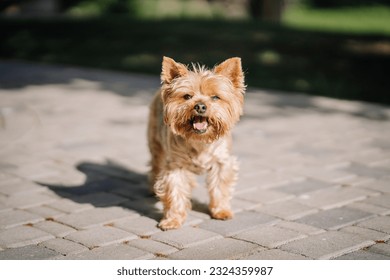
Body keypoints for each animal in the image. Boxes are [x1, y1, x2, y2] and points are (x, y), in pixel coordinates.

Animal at [148, 57, 245, 230]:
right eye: (187, 96)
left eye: (215, 97)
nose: (200, 106)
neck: (200, 141)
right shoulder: (175, 166)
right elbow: (175, 191)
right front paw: (172, 219)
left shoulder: (222, 162)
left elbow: (220, 187)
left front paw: (221, 211)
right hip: (156, 143)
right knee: (155, 163)